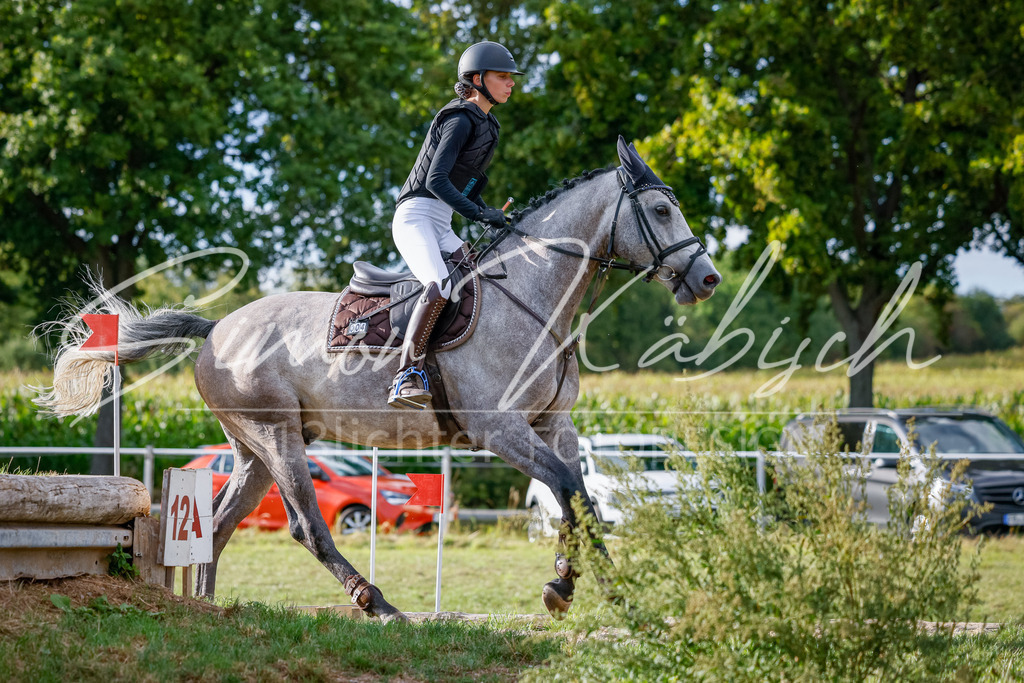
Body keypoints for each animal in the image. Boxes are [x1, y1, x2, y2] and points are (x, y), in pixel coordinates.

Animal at [36, 136, 720, 622]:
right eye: (662, 209)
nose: (707, 279)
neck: (534, 299)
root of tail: (216, 330)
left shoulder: (554, 423)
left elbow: (580, 496)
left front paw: (590, 587)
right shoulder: (499, 429)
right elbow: (566, 488)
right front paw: (576, 586)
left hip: (255, 447)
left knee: (224, 522)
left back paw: (205, 609)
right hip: (278, 436)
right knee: (308, 526)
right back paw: (378, 604)